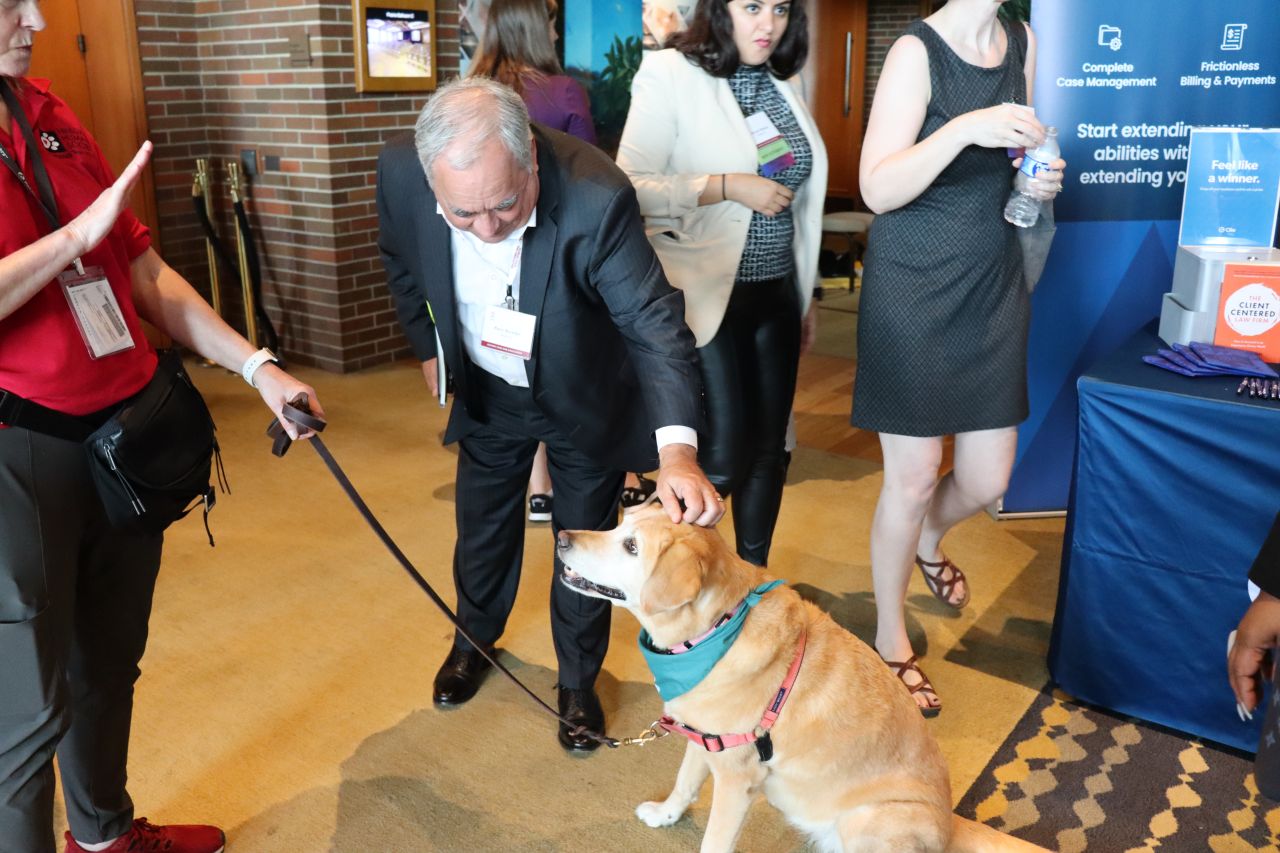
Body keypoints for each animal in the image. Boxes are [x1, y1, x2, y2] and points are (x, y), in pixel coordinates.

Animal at [556, 505, 1046, 853]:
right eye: (621, 523)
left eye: (631, 547)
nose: (561, 537)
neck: (714, 632)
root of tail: (950, 821)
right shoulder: (705, 739)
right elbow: (684, 782)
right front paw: (665, 814)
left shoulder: (736, 781)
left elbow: (714, 840)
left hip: (868, 818)